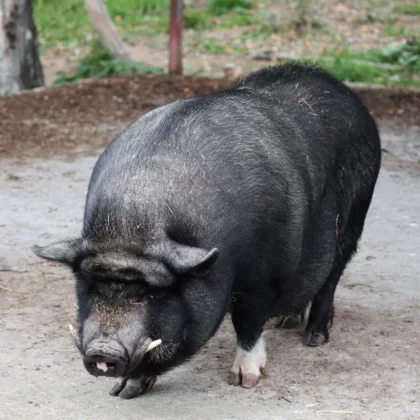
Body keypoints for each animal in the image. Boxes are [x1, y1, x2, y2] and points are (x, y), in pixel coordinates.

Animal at [33, 63, 380, 400]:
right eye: (88, 284)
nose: (102, 351)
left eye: (152, 293)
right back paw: (284, 322)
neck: (130, 229)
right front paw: (123, 392)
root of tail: (342, 89)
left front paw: (245, 381)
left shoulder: (263, 275)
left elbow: (247, 321)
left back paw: (314, 338)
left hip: (354, 218)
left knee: (331, 277)